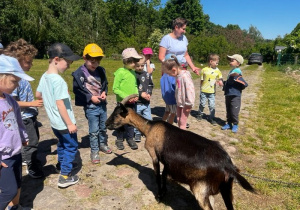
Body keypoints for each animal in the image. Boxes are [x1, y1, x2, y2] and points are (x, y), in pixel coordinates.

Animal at [105, 94, 255, 209]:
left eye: (118, 114)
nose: (106, 124)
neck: (149, 128)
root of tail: (227, 165)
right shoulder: (167, 161)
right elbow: (164, 175)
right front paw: (164, 192)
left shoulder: (154, 154)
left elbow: (157, 175)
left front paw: (159, 196)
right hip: (226, 189)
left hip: (201, 190)